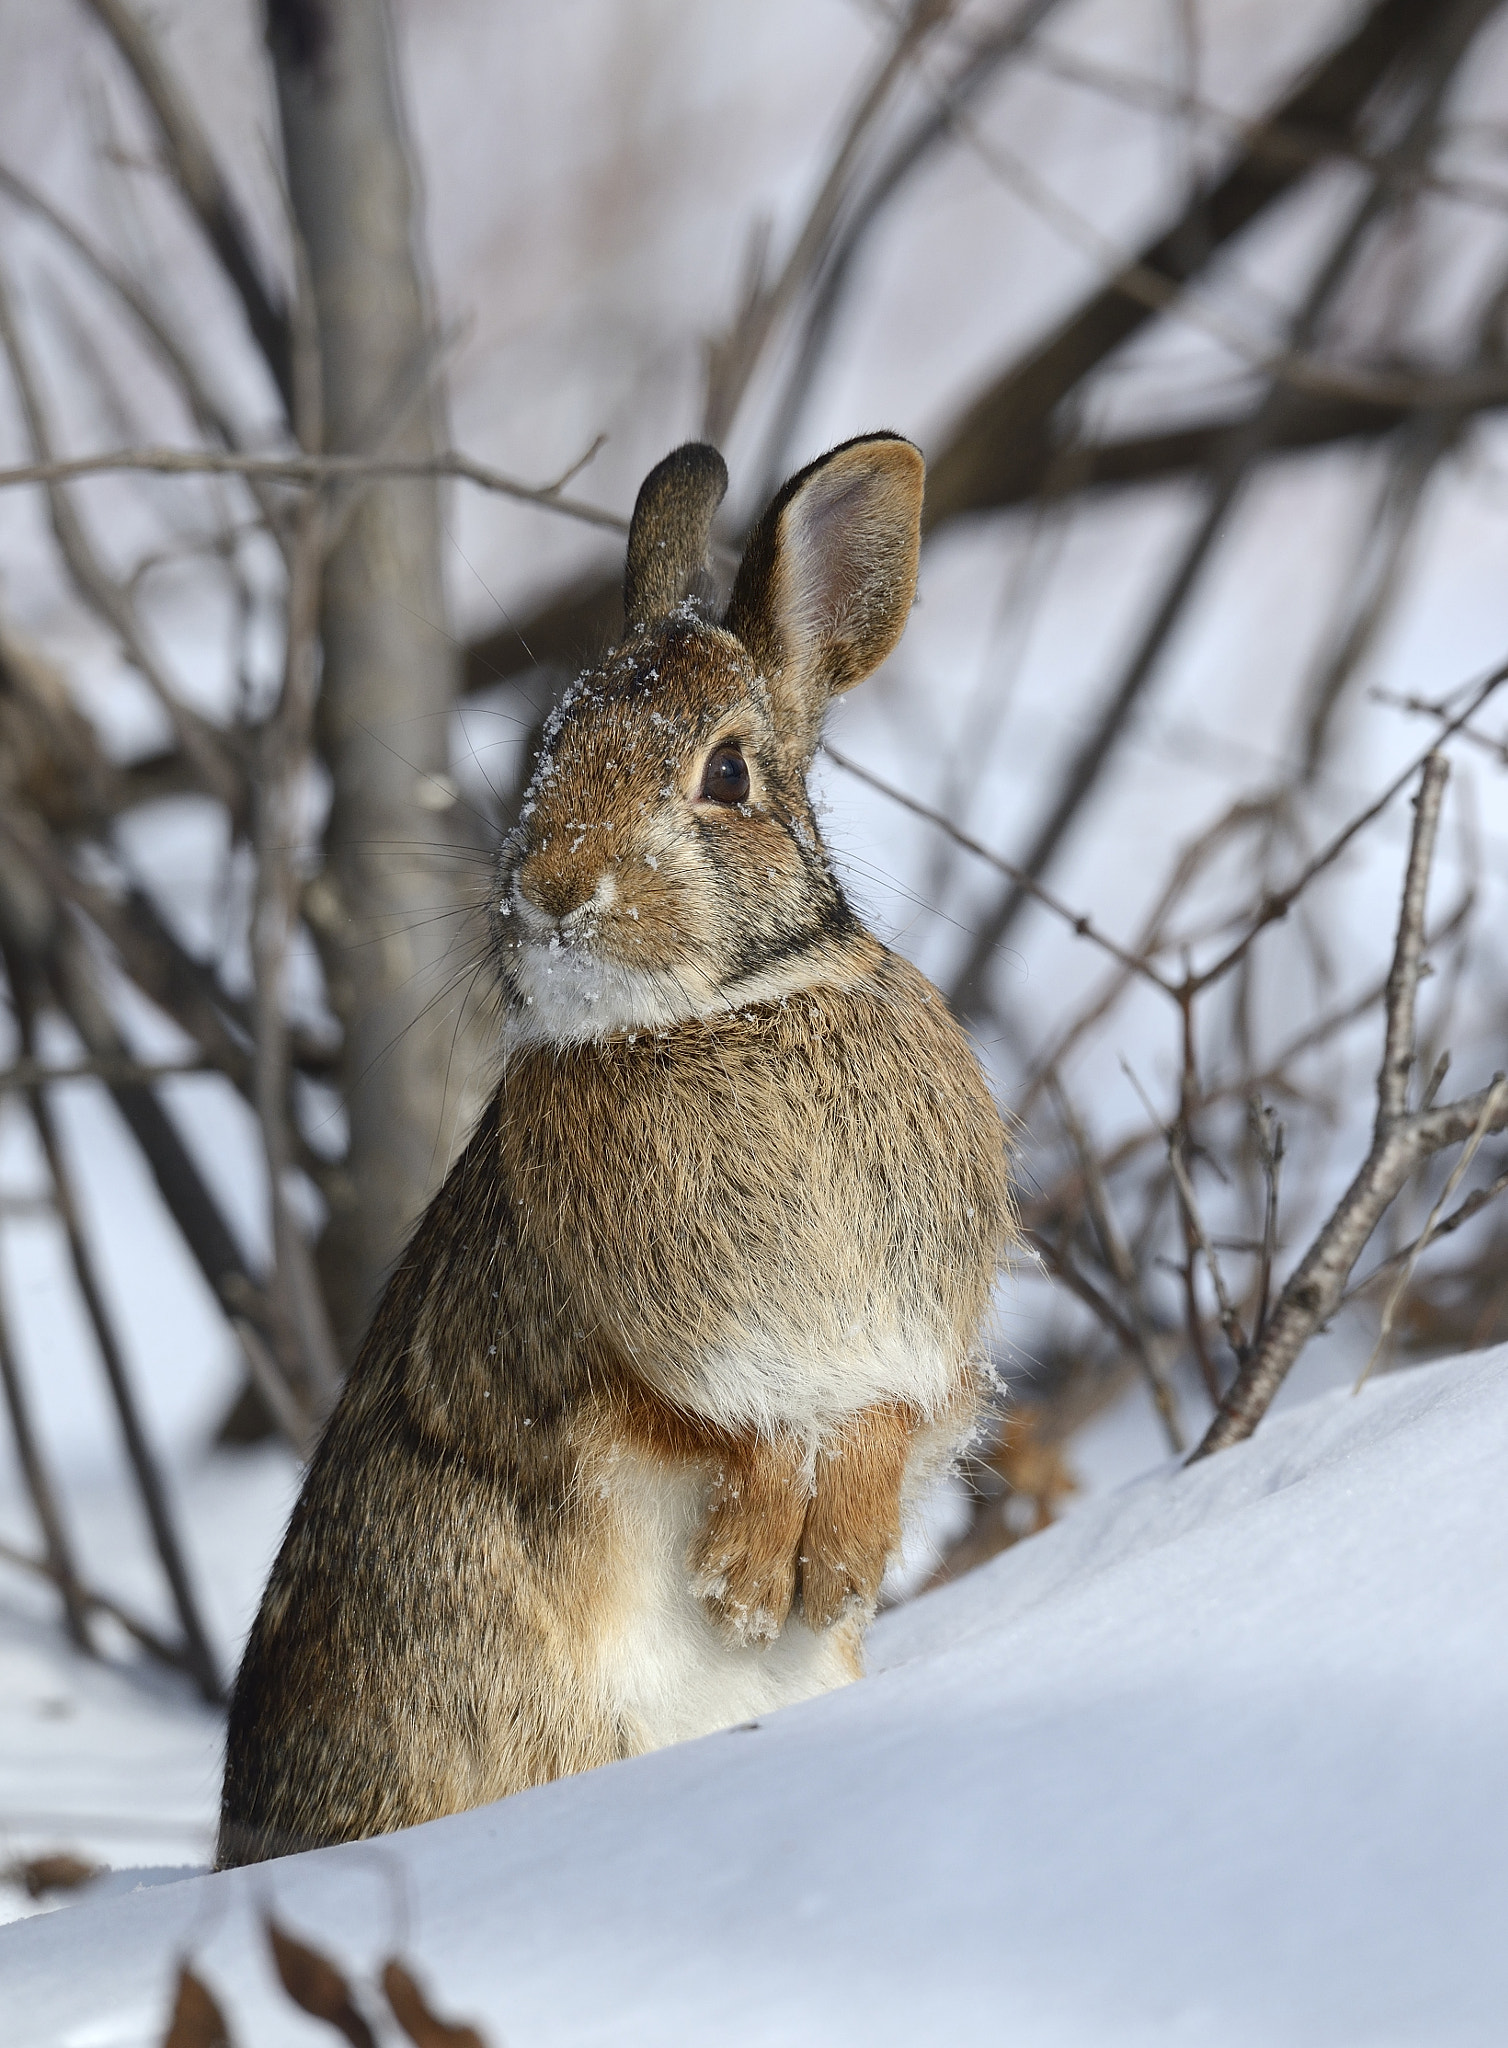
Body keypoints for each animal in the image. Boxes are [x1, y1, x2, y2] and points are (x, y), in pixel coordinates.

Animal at [218, 432, 1020, 1875]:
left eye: (727, 775)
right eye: (549, 744)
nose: (552, 888)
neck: (717, 1018)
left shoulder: (917, 1338)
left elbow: (874, 1423)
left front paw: (828, 1574)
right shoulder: (579, 1349)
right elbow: (710, 1421)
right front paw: (750, 1584)